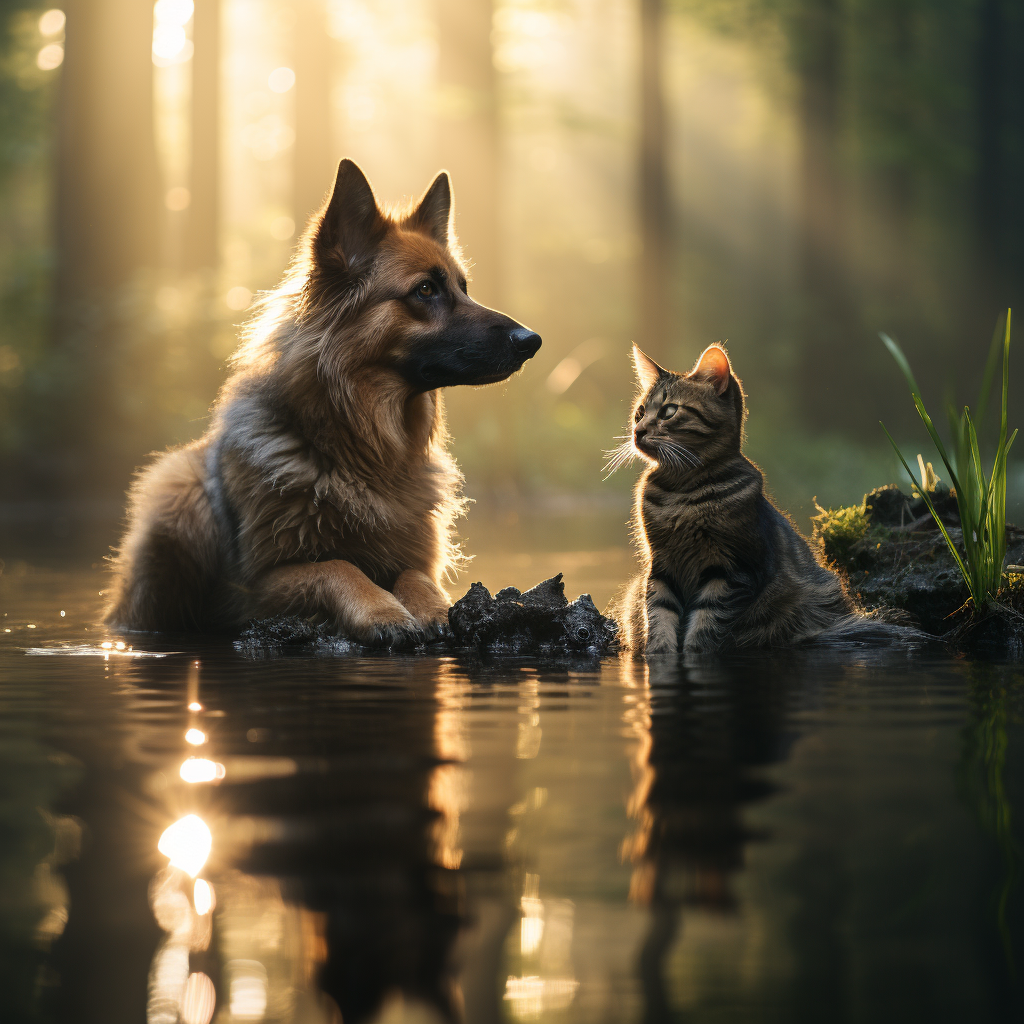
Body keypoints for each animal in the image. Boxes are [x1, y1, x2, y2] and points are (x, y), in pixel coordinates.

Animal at [105, 156, 544, 643]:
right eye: (426, 290)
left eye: (464, 287)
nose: (532, 341)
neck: (364, 456)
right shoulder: (250, 591)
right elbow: (335, 567)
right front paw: (383, 611)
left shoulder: (417, 559)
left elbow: (415, 575)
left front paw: (433, 609)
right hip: (174, 487)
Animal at [606, 339, 921, 651]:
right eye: (639, 412)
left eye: (669, 411)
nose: (637, 431)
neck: (680, 490)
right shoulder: (660, 566)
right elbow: (659, 619)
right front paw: (658, 653)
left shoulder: (731, 568)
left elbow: (703, 630)